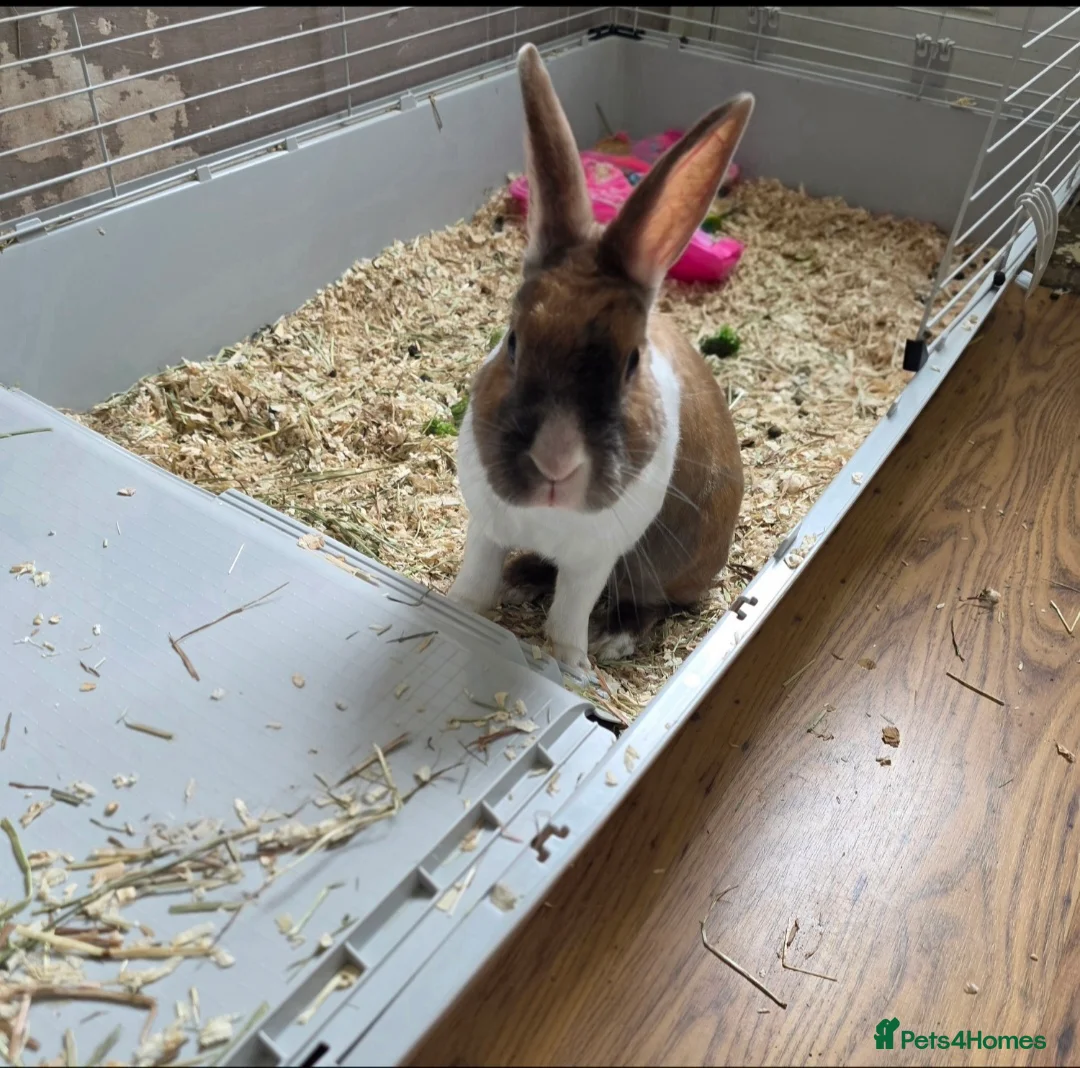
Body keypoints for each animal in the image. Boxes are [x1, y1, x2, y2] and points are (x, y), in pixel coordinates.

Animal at [446, 42, 750, 673]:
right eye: (513, 341)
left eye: (631, 362)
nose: (555, 463)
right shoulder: (486, 528)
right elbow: (477, 581)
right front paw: (459, 610)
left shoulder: (596, 557)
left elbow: (571, 613)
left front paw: (571, 665)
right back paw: (521, 577)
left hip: (663, 565)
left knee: (651, 602)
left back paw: (613, 640)